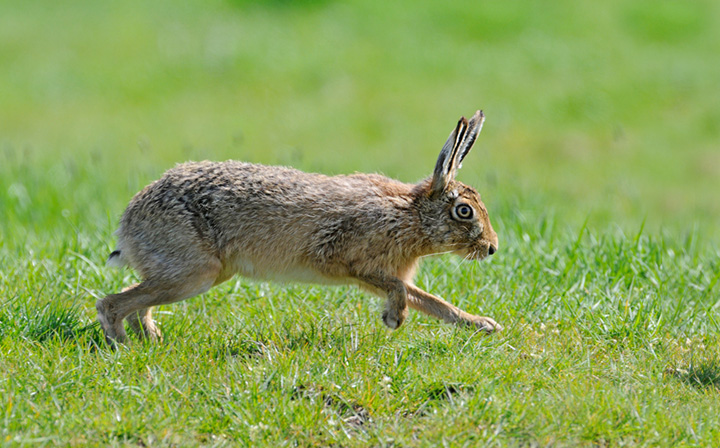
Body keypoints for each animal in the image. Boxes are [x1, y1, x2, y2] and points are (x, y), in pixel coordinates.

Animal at [97, 110, 501, 343]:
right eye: (464, 211)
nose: (492, 247)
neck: (411, 214)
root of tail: (128, 225)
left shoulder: (379, 272)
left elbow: (433, 302)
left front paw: (484, 325)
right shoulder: (347, 261)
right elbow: (402, 290)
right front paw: (393, 319)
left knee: (138, 301)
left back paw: (150, 338)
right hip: (194, 273)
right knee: (111, 303)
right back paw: (122, 344)